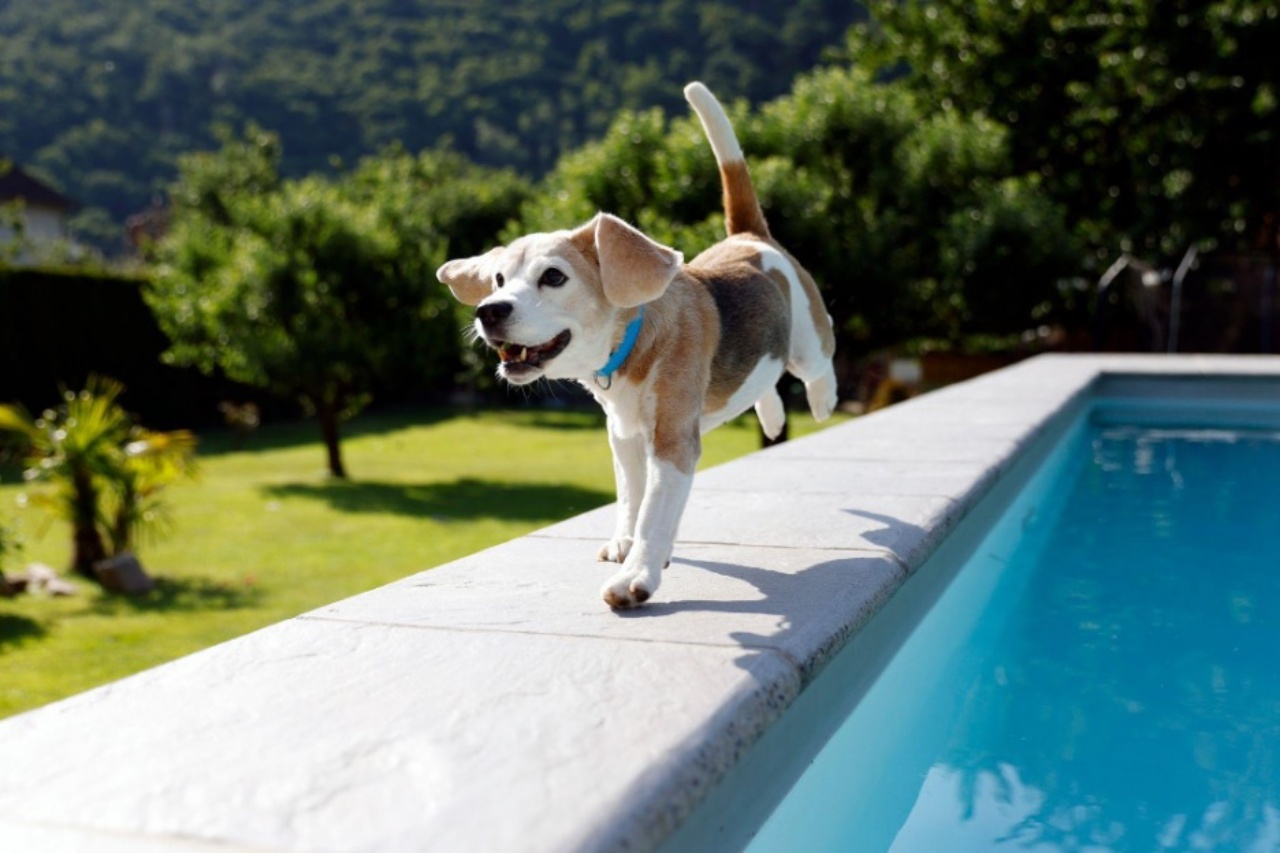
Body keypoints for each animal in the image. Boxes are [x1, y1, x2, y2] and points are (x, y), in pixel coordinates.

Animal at [437, 81, 839, 604]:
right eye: (499, 280)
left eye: (553, 277)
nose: (488, 311)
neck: (629, 344)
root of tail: (751, 238)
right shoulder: (623, 435)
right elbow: (631, 498)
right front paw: (624, 544)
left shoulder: (671, 442)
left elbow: (654, 513)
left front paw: (637, 575)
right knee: (764, 380)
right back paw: (771, 415)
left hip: (807, 342)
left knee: (820, 358)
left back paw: (824, 398)